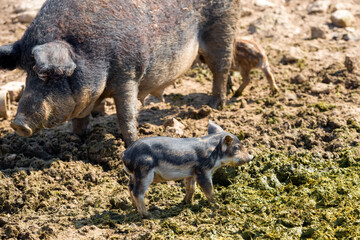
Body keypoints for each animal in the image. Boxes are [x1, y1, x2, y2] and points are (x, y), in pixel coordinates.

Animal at [2, 0, 242, 146]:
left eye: (46, 74)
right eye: (26, 71)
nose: (18, 124)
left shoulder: (128, 74)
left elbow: (126, 115)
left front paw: (132, 144)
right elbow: (80, 118)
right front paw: (79, 139)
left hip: (222, 26)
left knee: (221, 68)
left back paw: (215, 106)